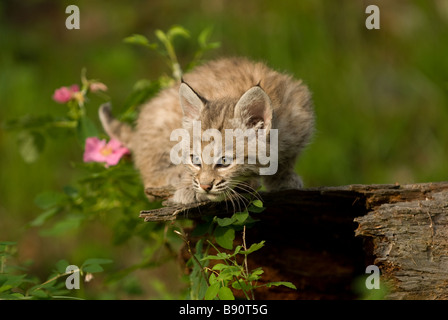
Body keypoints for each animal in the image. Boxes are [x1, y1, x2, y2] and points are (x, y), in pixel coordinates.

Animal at [99, 57, 314, 205]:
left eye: (224, 162)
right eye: (195, 160)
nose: (205, 186)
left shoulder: (301, 112)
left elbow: (287, 158)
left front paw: (282, 177)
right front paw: (189, 187)